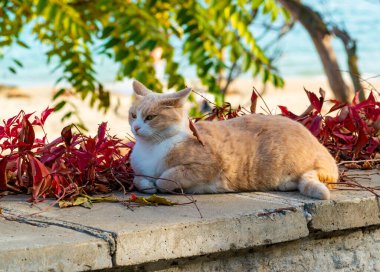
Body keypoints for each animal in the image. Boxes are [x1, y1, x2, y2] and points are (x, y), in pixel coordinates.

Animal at [128, 79, 338, 199]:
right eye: (132, 115)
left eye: (150, 117)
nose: (136, 127)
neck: (151, 148)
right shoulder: (139, 172)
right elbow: (138, 180)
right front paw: (147, 185)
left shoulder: (207, 165)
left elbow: (167, 178)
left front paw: (159, 183)